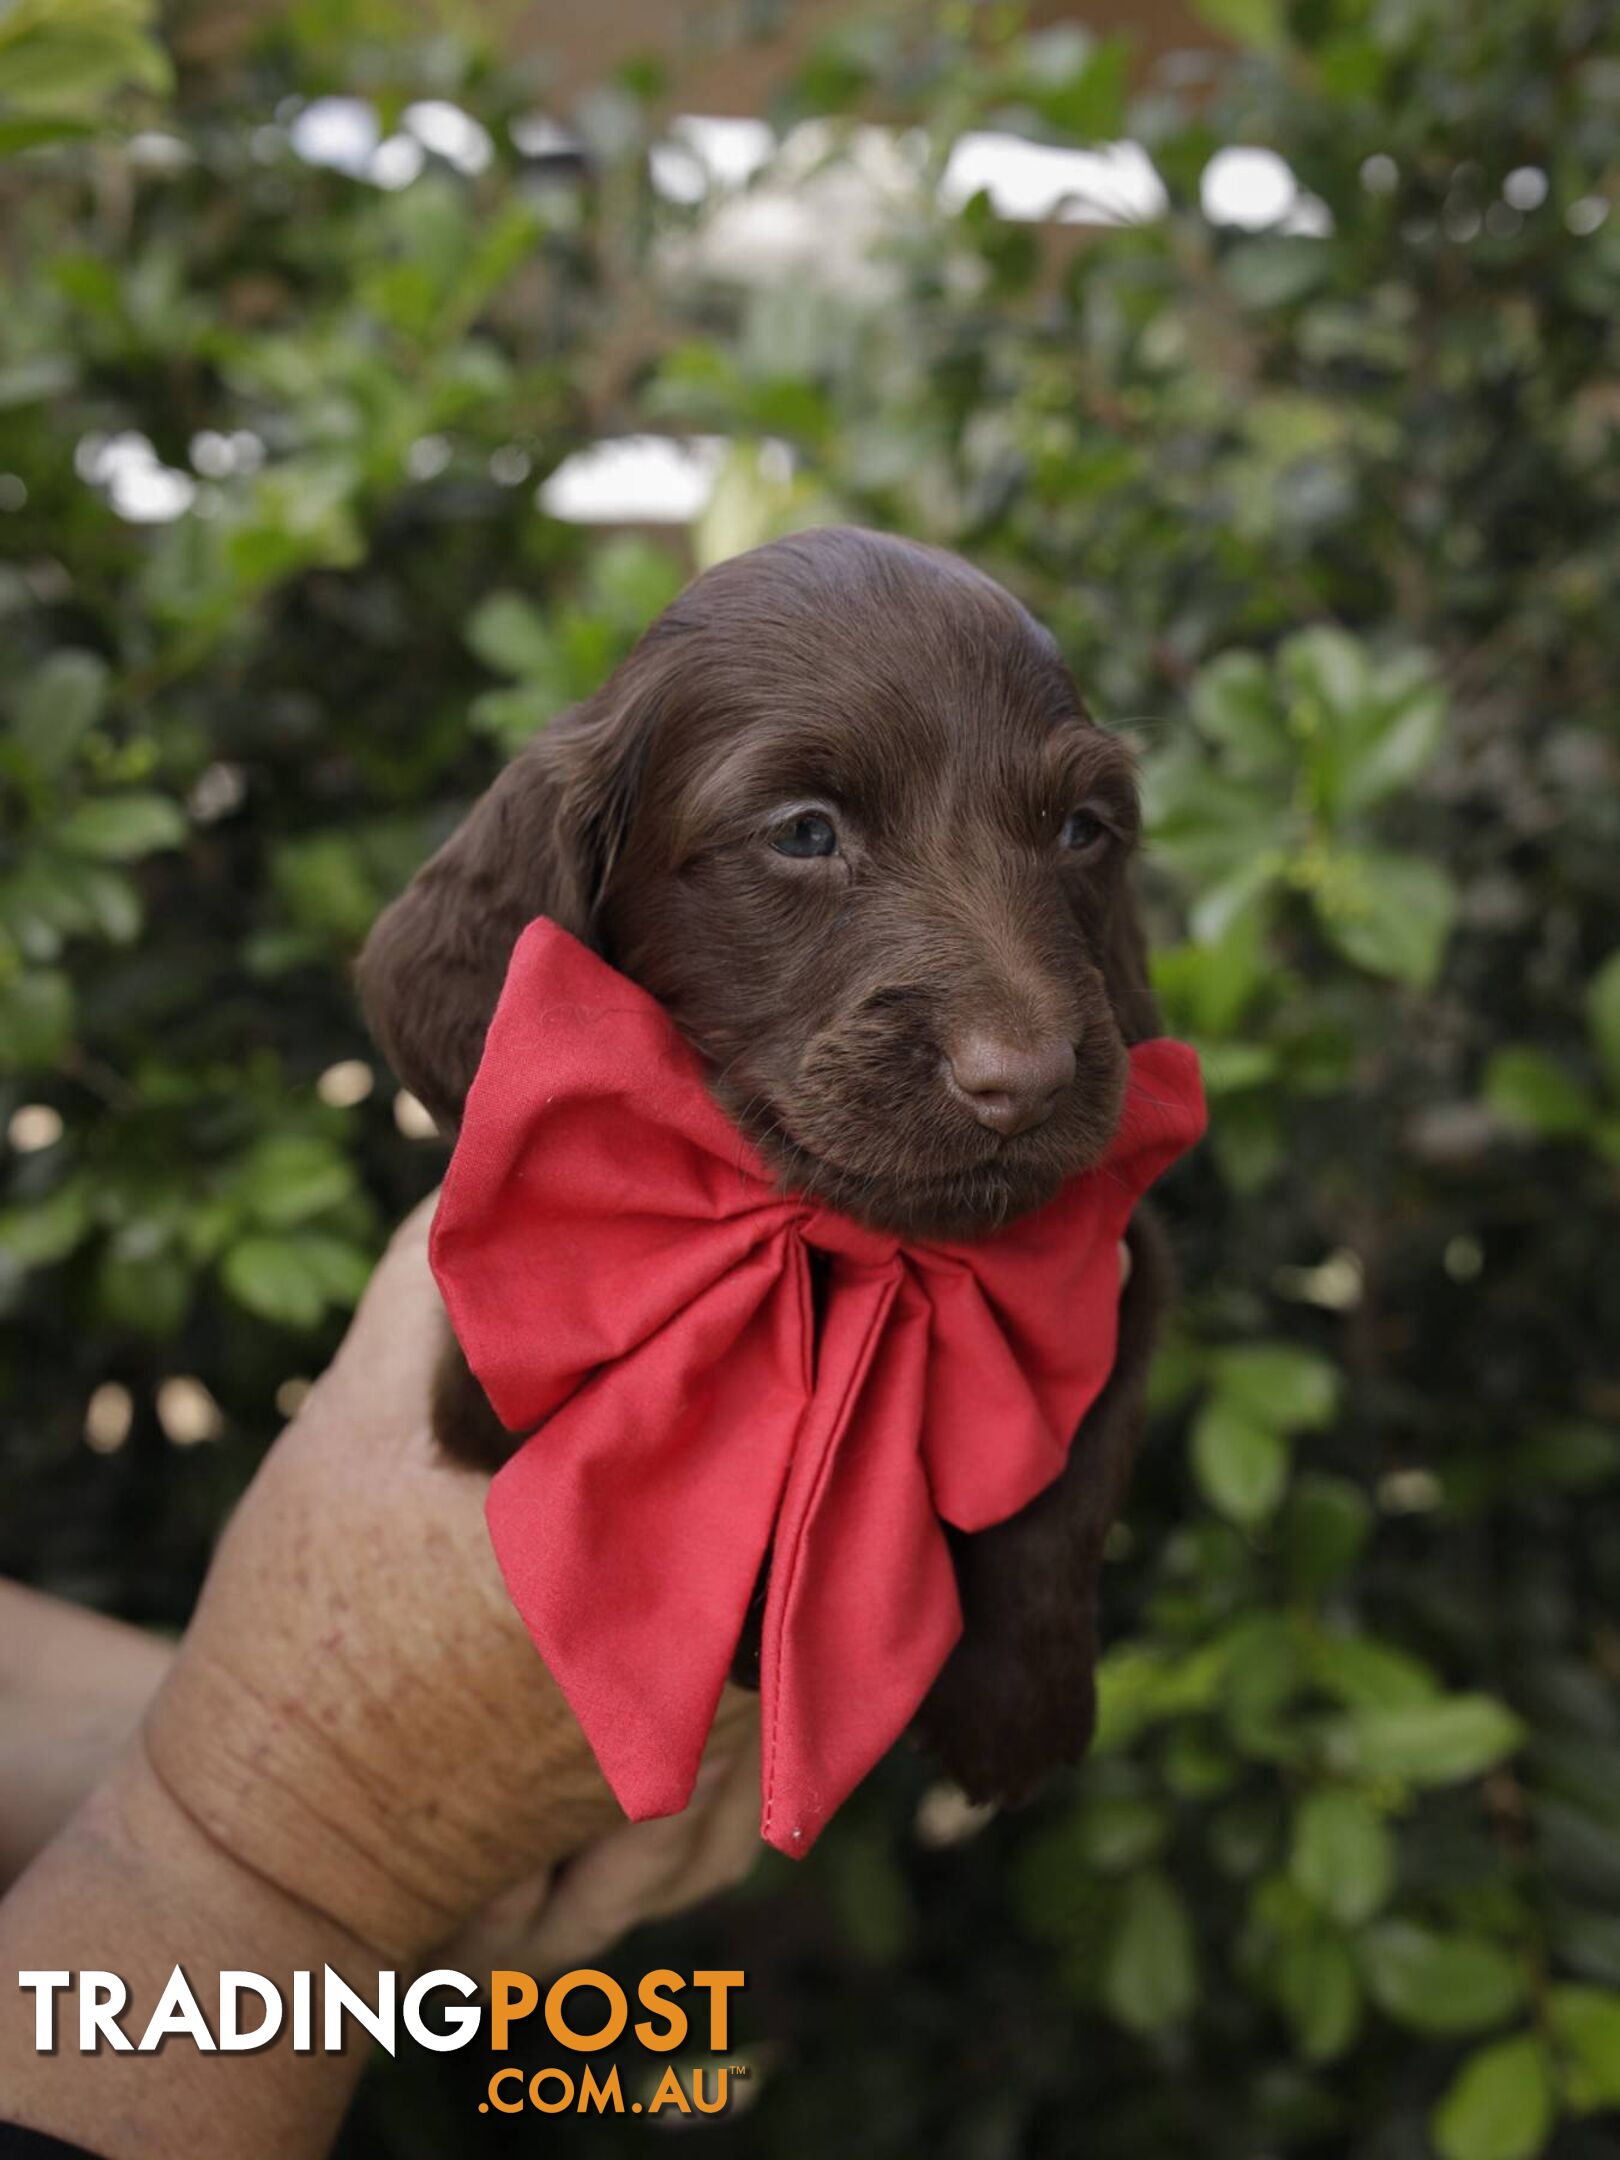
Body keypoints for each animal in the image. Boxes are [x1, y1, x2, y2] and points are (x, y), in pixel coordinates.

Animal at [365, 527, 1183, 1805]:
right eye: (803, 831)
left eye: (1082, 830)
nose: (1028, 1079)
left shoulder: (1116, 1265)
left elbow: (1076, 1472)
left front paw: (1022, 1708)